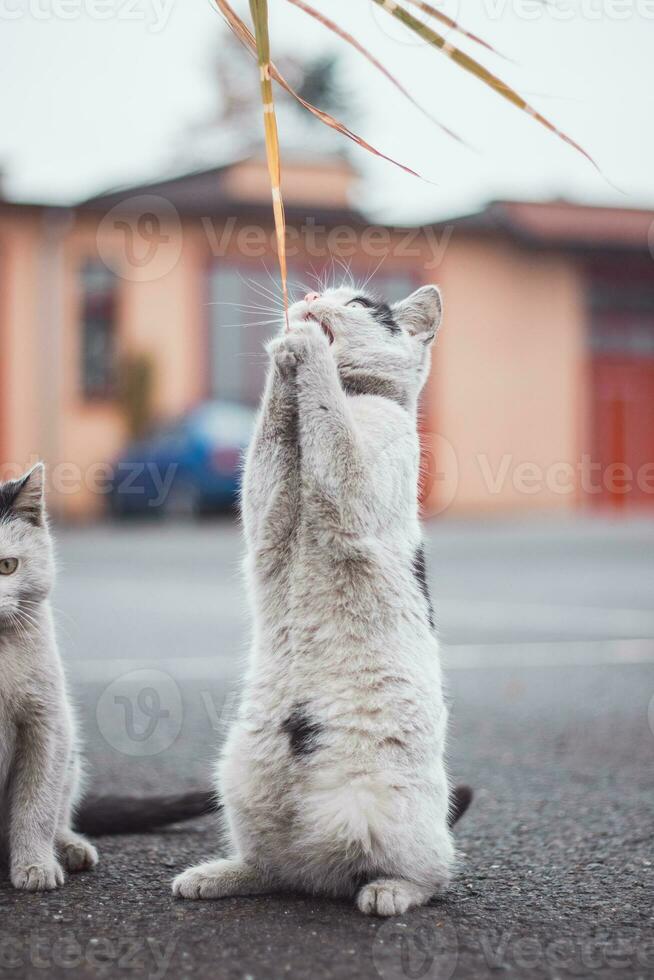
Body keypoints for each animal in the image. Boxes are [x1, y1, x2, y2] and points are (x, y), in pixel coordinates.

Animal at [176, 284, 462, 920]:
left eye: (355, 301)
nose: (307, 295)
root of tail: (320, 871)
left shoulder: (356, 490)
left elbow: (334, 427)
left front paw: (307, 351)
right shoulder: (269, 511)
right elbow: (269, 446)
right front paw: (283, 356)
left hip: (396, 815)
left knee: (433, 876)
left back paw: (387, 893)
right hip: (239, 784)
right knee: (271, 868)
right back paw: (215, 875)